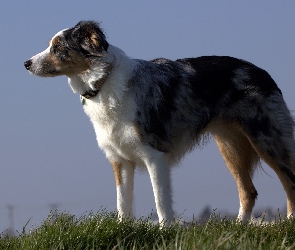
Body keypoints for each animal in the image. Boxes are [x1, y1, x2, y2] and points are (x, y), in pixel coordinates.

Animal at [24, 21, 295, 225]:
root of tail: (262, 72)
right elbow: (122, 203)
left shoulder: (155, 155)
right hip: (230, 146)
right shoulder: (120, 160)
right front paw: (124, 229)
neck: (103, 82)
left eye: (58, 47)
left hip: (267, 139)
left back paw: (288, 221)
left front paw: (165, 231)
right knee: (248, 191)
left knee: (289, 180)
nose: (26, 63)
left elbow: (161, 201)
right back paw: (239, 226)